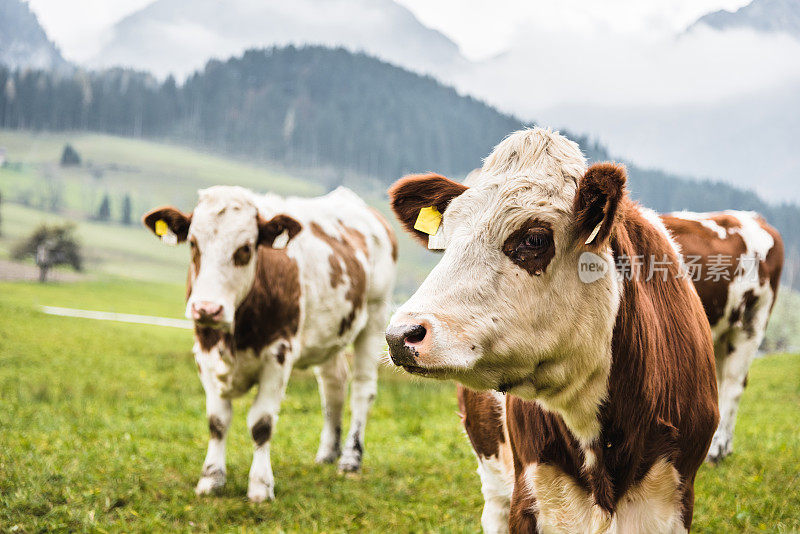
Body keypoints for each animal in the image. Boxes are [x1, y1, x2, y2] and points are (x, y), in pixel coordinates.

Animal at [144, 187, 396, 502]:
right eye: (193, 243)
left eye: (245, 248)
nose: (207, 309)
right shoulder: (204, 353)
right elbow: (217, 422)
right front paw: (211, 478)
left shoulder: (279, 353)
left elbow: (261, 423)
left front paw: (261, 486)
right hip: (330, 332)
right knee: (333, 386)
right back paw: (327, 453)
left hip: (375, 316)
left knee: (362, 390)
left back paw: (350, 459)